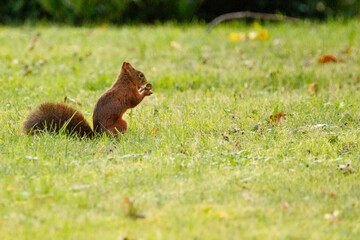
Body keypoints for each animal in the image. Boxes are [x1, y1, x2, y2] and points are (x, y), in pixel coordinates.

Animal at [23, 62, 153, 137]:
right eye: (141, 75)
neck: (126, 81)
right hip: (120, 124)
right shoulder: (128, 92)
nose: (146, 81)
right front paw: (146, 91)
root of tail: (97, 136)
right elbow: (135, 101)